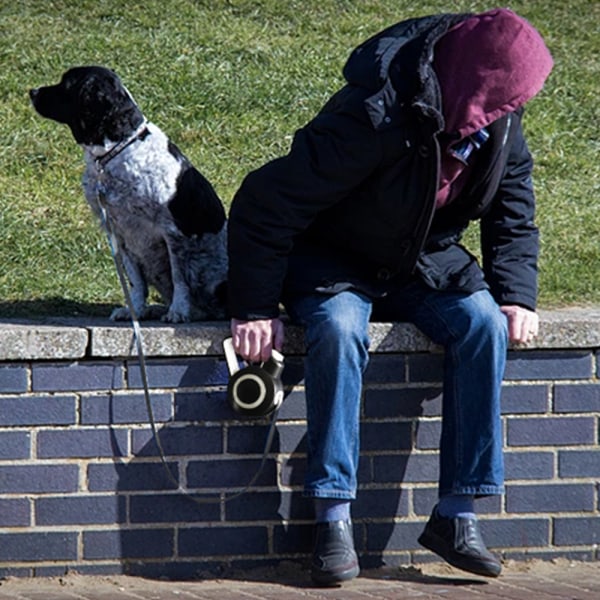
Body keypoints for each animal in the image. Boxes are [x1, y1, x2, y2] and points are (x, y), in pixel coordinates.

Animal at [29, 65, 229, 324]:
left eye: (66, 84)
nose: (32, 91)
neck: (118, 150)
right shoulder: (119, 232)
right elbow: (135, 281)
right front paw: (135, 310)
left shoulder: (173, 234)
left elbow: (179, 279)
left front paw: (177, 311)